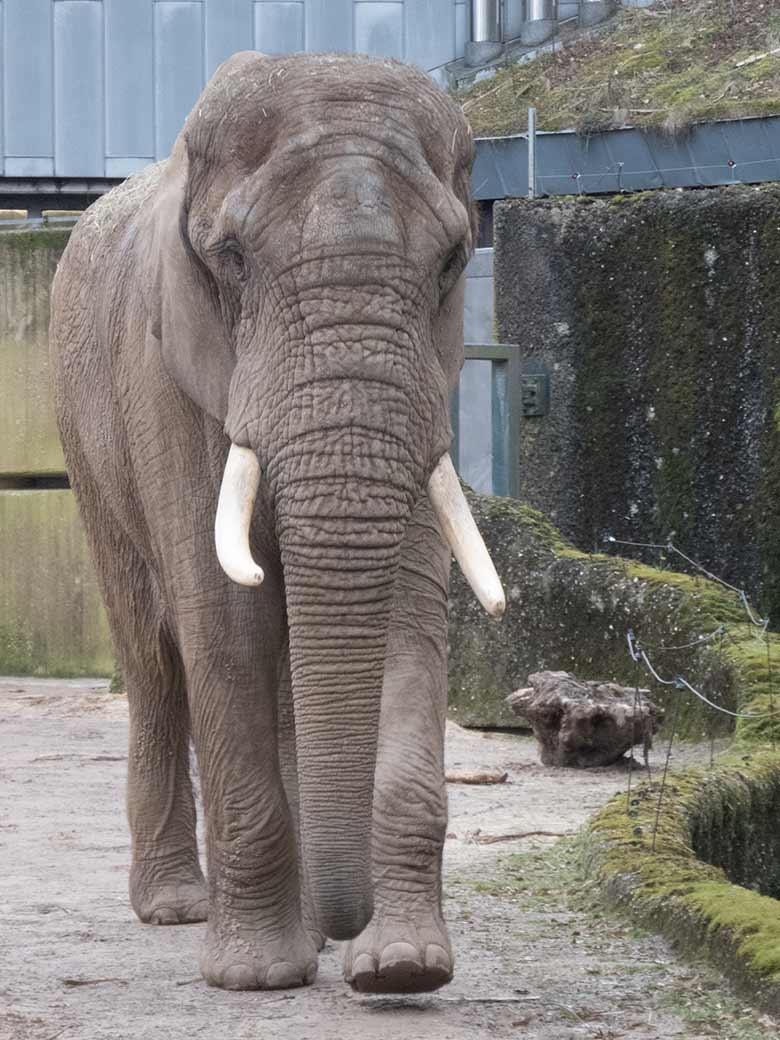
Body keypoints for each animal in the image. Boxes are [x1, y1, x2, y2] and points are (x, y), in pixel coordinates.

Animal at [48, 52, 503, 994]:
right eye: (230, 258)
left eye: (452, 261)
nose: (345, 923)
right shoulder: (165, 377)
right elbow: (224, 621)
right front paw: (257, 977)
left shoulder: (425, 387)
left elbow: (407, 612)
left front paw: (401, 968)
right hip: (86, 443)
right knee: (154, 656)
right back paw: (178, 907)